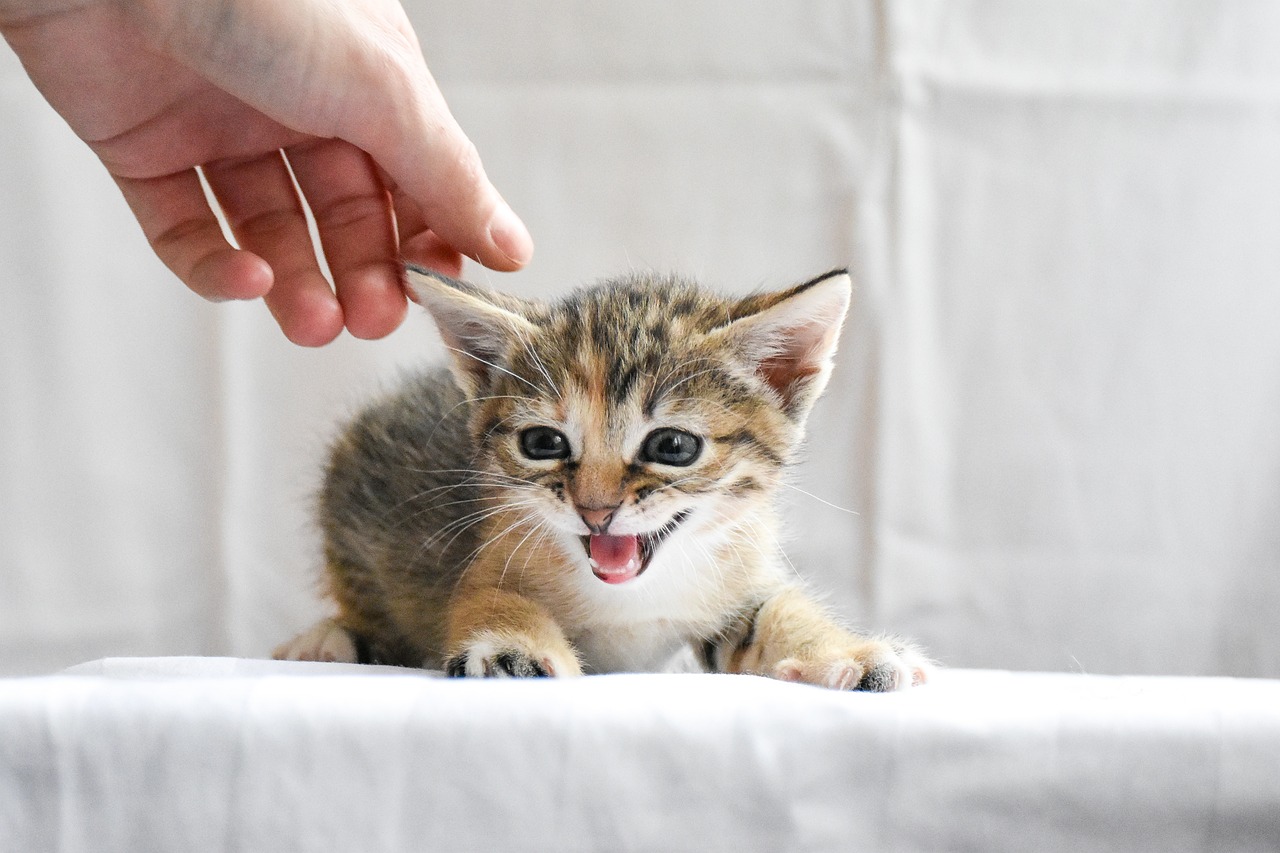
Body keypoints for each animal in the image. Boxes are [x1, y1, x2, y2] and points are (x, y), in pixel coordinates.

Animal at [275, 266, 931, 691]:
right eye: (543, 444)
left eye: (672, 446)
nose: (595, 510)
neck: (635, 598)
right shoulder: (490, 553)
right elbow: (487, 596)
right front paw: (513, 646)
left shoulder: (740, 578)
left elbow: (777, 609)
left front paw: (848, 652)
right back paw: (326, 640)